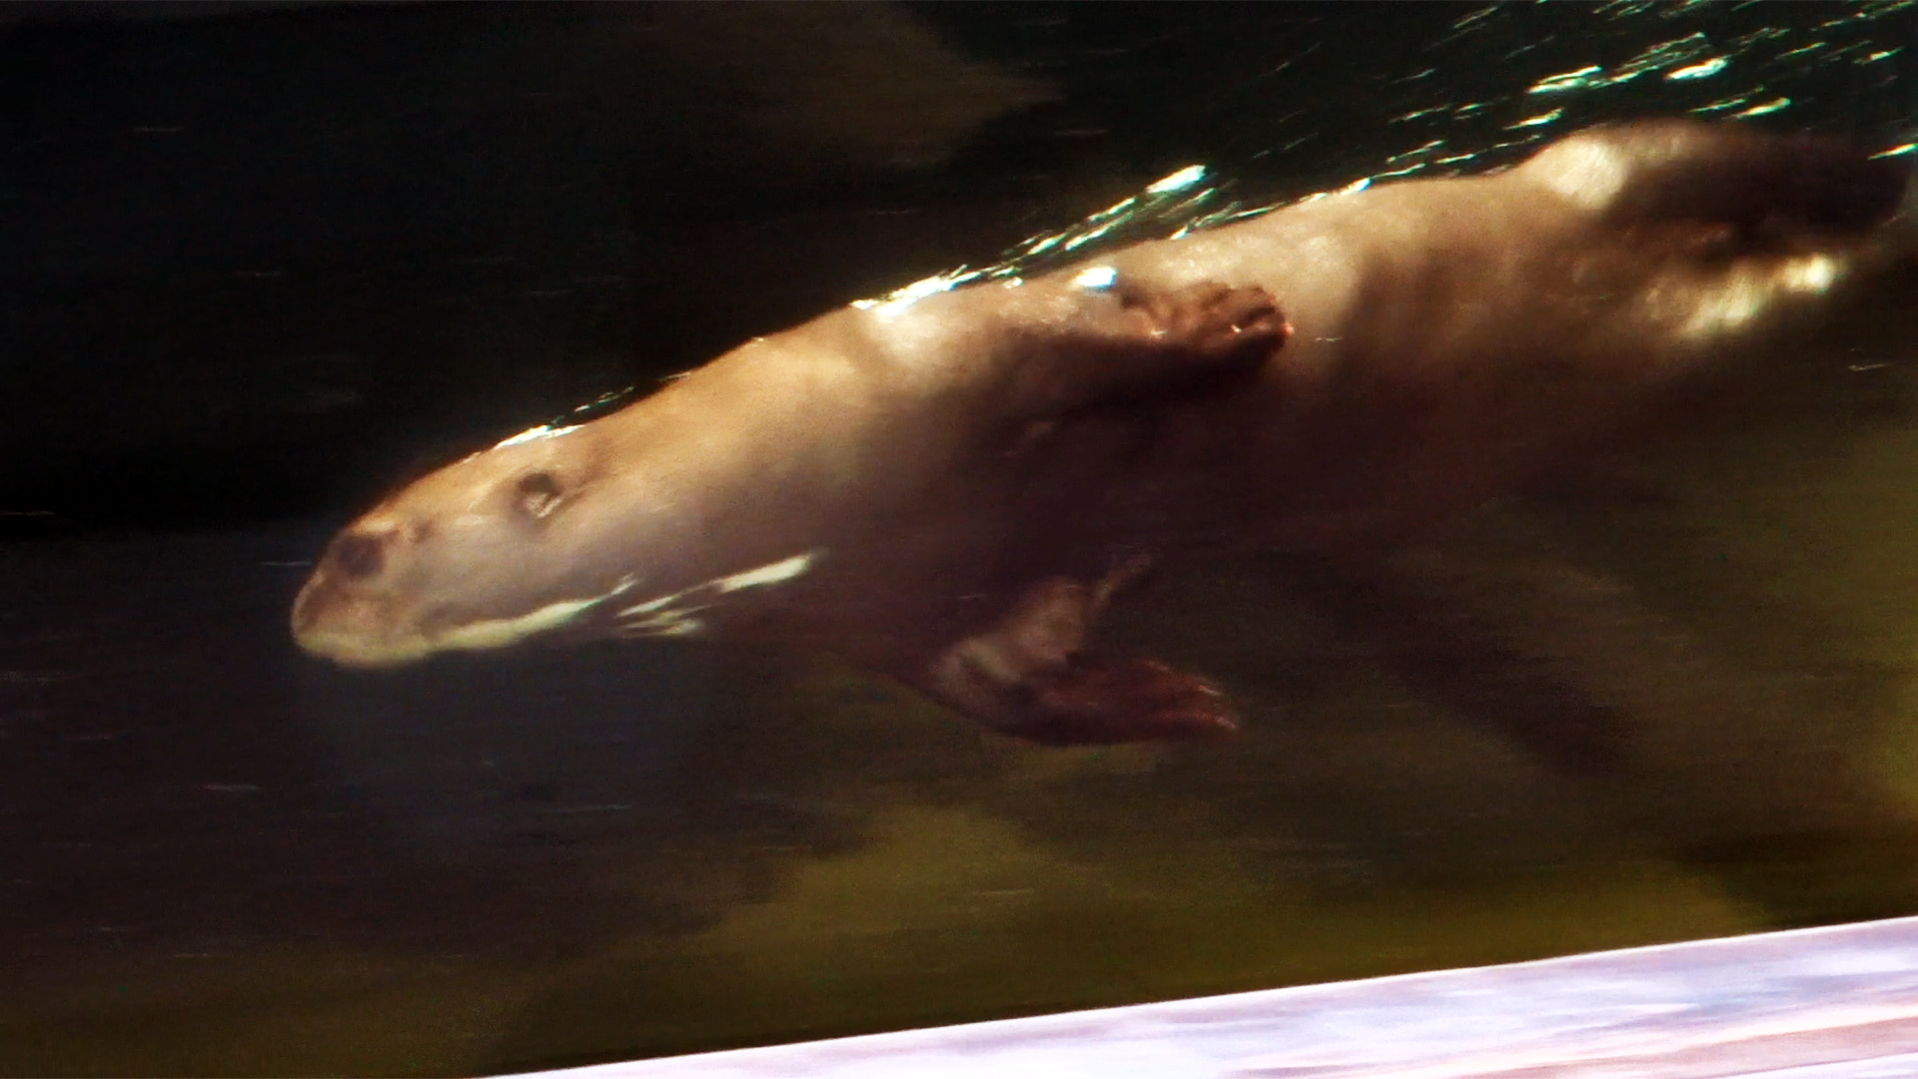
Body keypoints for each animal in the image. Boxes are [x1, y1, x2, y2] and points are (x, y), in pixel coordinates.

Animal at [291, 120, 1911, 746]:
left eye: (364, 544)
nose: (303, 611)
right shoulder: (895, 603)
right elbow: (1003, 683)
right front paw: (1163, 701)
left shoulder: (922, 357)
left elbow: (1083, 332)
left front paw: (1231, 323)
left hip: (1599, 171)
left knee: (1708, 157)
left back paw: (1867, 173)